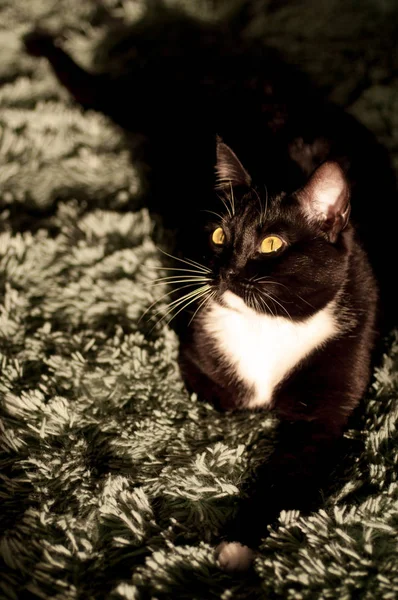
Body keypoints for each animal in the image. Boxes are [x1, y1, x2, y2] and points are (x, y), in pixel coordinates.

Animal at [24, 0, 394, 572]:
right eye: (219, 234)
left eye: (269, 244)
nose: (223, 271)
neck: (267, 327)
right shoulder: (196, 354)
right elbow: (224, 395)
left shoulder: (333, 397)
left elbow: (289, 468)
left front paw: (239, 544)